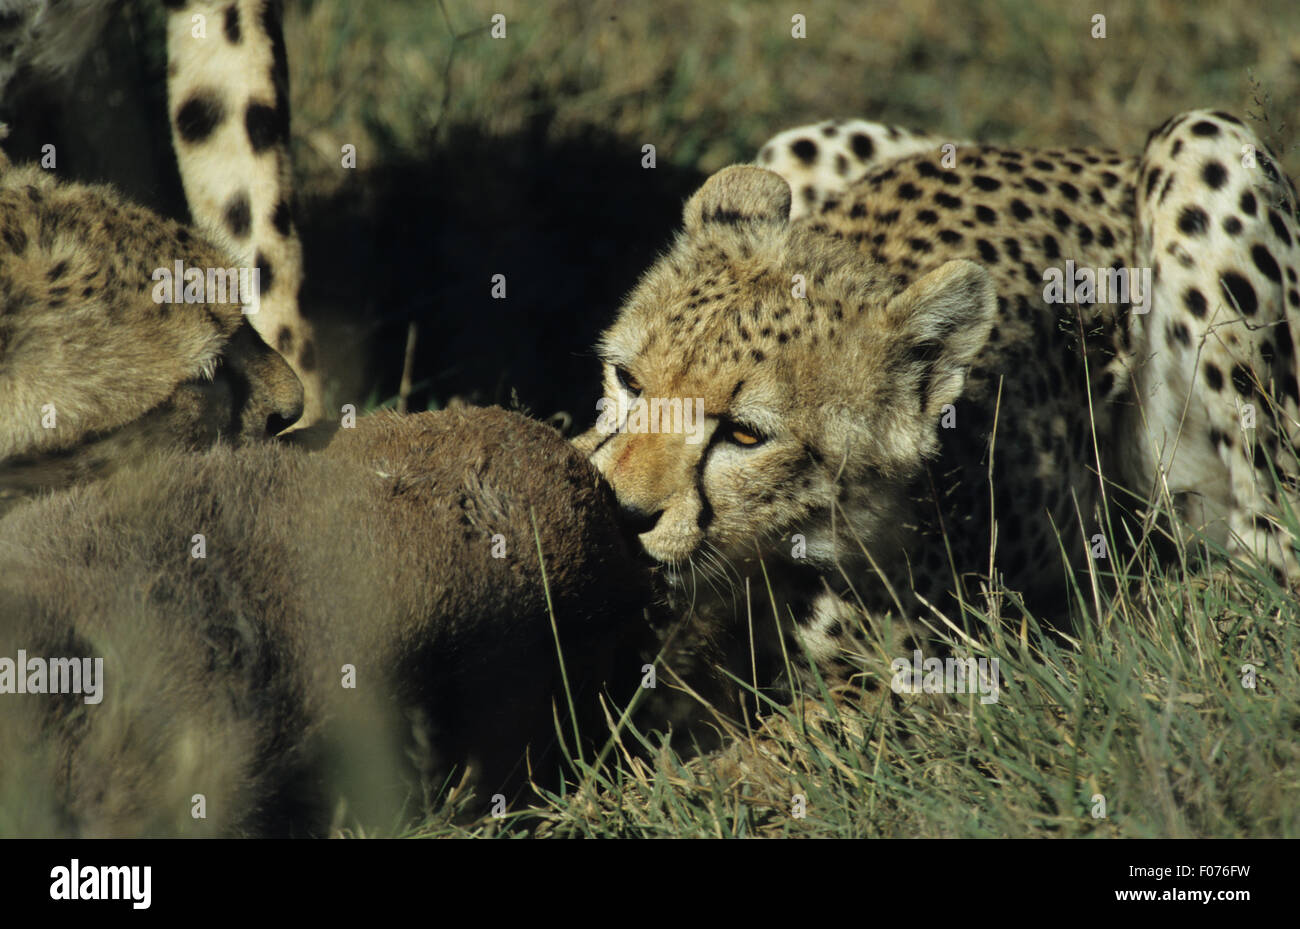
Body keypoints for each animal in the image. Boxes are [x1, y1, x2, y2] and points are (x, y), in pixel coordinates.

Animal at [585, 111, 1300, 717]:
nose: (621, 512)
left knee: (1270, 540)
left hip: (1202, 144)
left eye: (743, 433)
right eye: (629, 381)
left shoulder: (909, 689)